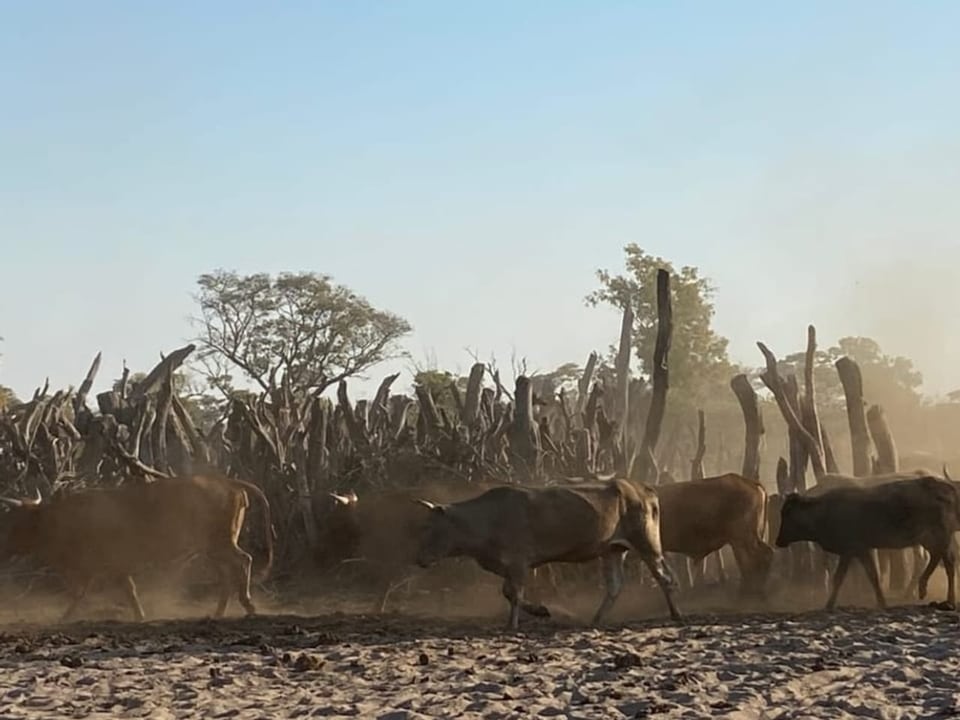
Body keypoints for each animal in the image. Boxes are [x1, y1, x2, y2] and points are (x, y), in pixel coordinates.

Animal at [0, 472, 274, 624]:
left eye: (14, 521)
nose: (3, 547)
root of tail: (227, 482)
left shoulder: (104, 564)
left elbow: (85, 592)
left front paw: (63, 617)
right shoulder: (109, 567)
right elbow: (123, 590)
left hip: (221, 543)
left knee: (244, 561)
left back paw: (248, 604)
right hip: (212, 548)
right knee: (227, 574)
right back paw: (219, 612)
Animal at [414, 478, 684, 632]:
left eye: (431, 528)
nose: (419, 559)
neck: (487, 518)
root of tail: (641, 489)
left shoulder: (518, 562)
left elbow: (515, 593)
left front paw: (513, 624)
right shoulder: (509, 566)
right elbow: (508, 592)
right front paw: (538, 610)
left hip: (647, 543)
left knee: (664, 578)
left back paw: (676, 614)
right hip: (612, 550)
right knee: (615, 586)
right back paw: (596, 619)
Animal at [772, 476, 960, 612]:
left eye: (788, 512)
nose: (778, 540)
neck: (825, 512)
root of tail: (948, 489)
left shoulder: (852, 549)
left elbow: (843, 578)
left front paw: (829, 605)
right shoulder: (860, 550)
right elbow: (871, 576)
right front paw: (882, 602)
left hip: (939, 535)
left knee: (948, 563)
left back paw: (947, 600)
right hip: (928, 539)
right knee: (938, 557)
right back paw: (926, 590)